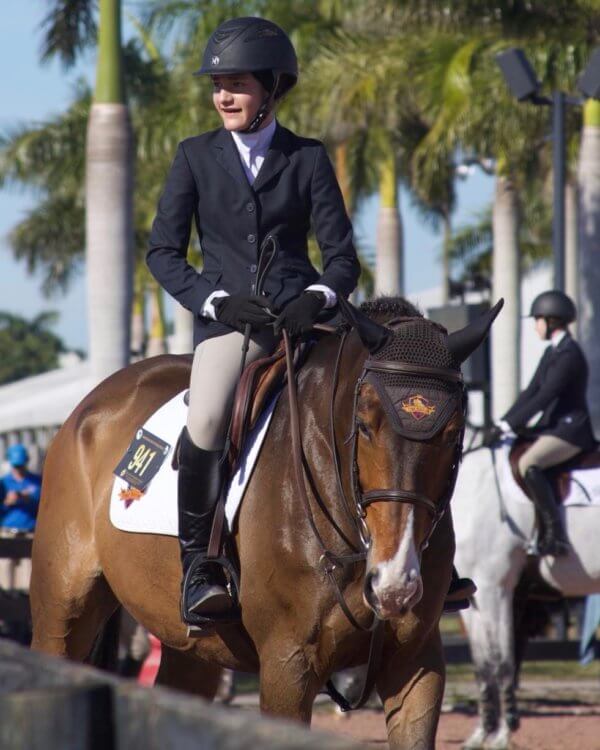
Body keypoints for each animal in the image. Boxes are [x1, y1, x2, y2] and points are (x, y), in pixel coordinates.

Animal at [30, 296, 500, 748]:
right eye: (365, 425)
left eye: (454, 433)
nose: (395, 584)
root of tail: (89, 407)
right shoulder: (286, 665)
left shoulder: (416, 662)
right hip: (62, 613)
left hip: (192, 645)